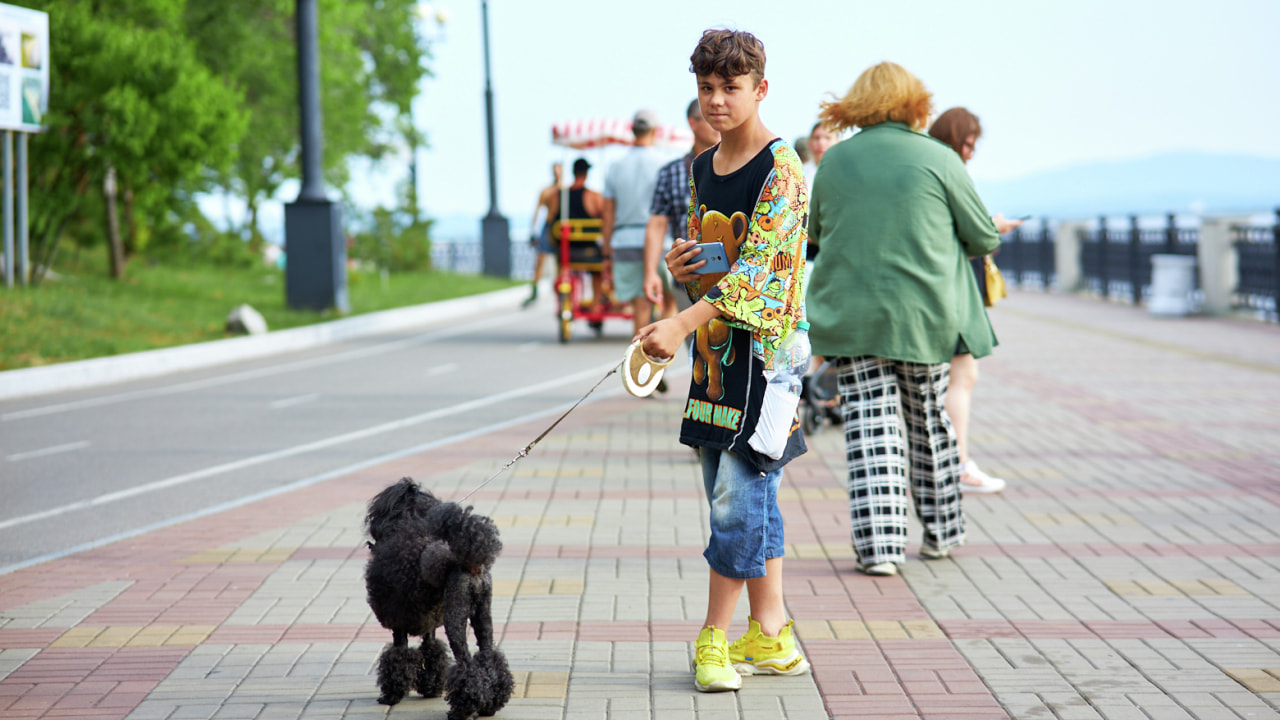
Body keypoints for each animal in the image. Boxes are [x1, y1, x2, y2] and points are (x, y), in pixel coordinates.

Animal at [363, 476, 512, 717]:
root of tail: (471, 565)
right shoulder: (430, 624)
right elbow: (432, 650)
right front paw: (431, 687)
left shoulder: (398, 623)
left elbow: (398, 656)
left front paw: (392, 695)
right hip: (483, 614)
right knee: (490, 657)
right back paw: (492, 704)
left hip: (456, 617)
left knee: (466, 664)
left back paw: (462, 708)